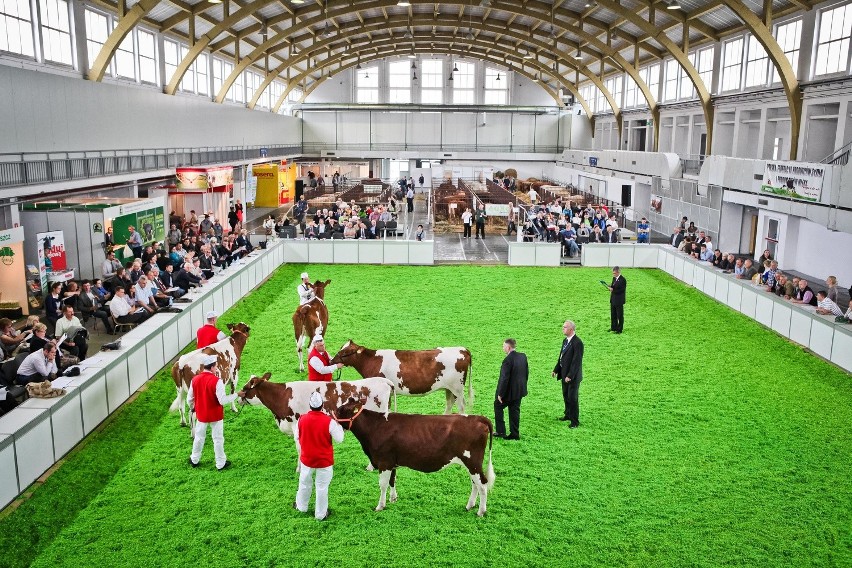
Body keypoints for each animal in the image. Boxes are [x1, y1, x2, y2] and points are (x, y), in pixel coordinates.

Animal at [236, 372, 396, 470]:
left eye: (245, 387)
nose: (238, 398)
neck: (282, 397)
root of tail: (384, 381)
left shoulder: (296, 425)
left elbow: (300, 449)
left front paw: (299, 469)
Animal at [328, 338, 472, 412]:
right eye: (341, 348)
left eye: (346, 352)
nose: (331, 361)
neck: (372, 361)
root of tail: (462, 349)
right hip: (449, 389)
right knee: (449, 404)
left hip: (457, 388)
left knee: (461, 406)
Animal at [332, 398, 492, 516]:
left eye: (340, 410)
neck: (375, 427)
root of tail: (477, 418)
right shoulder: (392, 462)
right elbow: (392, 481)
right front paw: (393, 499)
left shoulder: (384, 462)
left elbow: (382, 485)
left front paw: (380, 506)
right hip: (470, 464)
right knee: (475, 483)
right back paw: (469, 506)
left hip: (473, 462)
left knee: (482, 484)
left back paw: (481, 511)